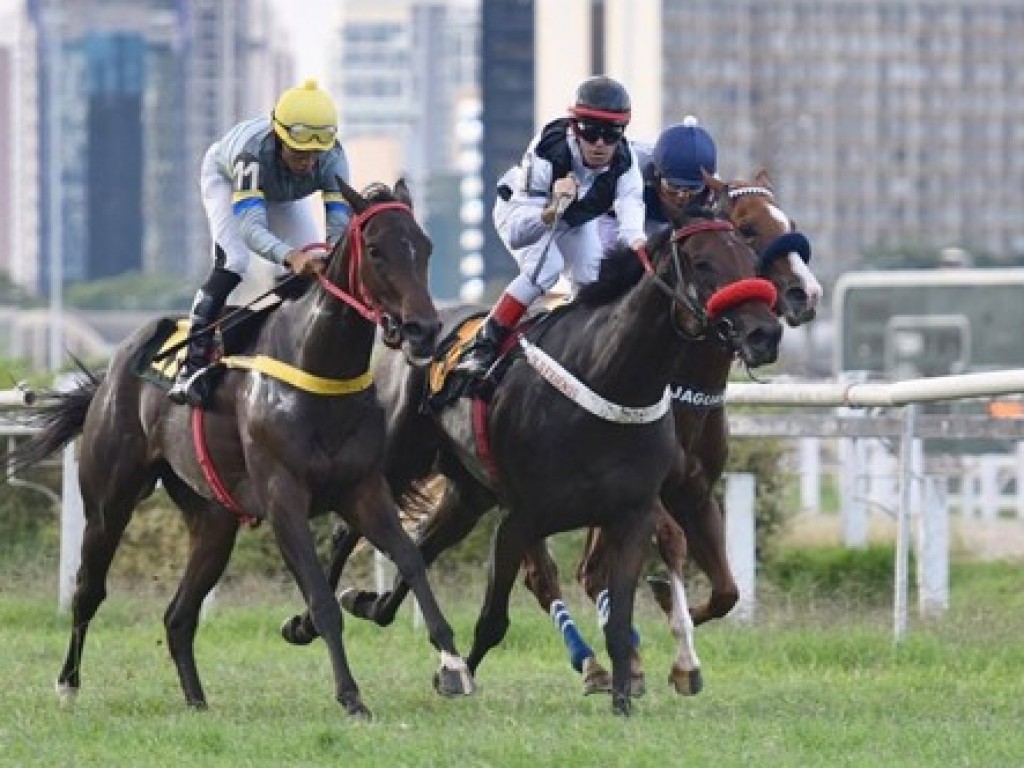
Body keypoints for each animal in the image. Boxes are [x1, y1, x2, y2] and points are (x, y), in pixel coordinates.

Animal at [3, 180, 475, 720]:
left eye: (425, 246)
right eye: (376, 250)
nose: (424, 329)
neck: (319, 367)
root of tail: (114, 368)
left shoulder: (363, 488)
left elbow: (411, 560)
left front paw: (453, 665)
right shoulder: (283, 497)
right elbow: (321, 600)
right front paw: (351, 696)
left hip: (213, 519)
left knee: (178, 614)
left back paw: (196, 701)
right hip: (109, 500)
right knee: (88, 589)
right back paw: (68, 685)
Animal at [284, 207, 778, 720]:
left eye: (750, 257)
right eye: (702, 262)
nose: (765, 332)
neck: (610, 380)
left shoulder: (636, 513)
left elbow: (627, 617)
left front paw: (625, 698)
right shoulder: (520, 519)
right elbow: (494, 619)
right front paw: (458, 674)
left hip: (468, 494)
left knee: (421, 546)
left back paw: (368, 603)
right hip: (395, 463)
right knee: (351, 533)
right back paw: (305, 623)